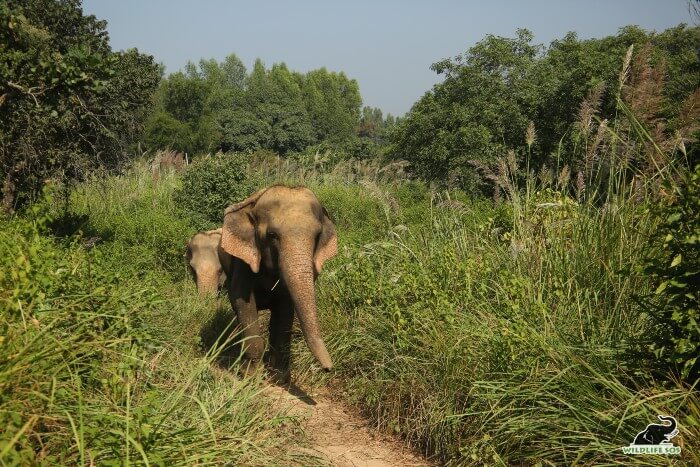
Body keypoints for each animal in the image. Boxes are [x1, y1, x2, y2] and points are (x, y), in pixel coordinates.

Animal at [220, 185, 338, 382]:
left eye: (317, 236)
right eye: (272, 235)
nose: (328, 368)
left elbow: (285, 309)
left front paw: (279, 378)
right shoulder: (243, 262)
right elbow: (243, 302)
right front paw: (250, 377)